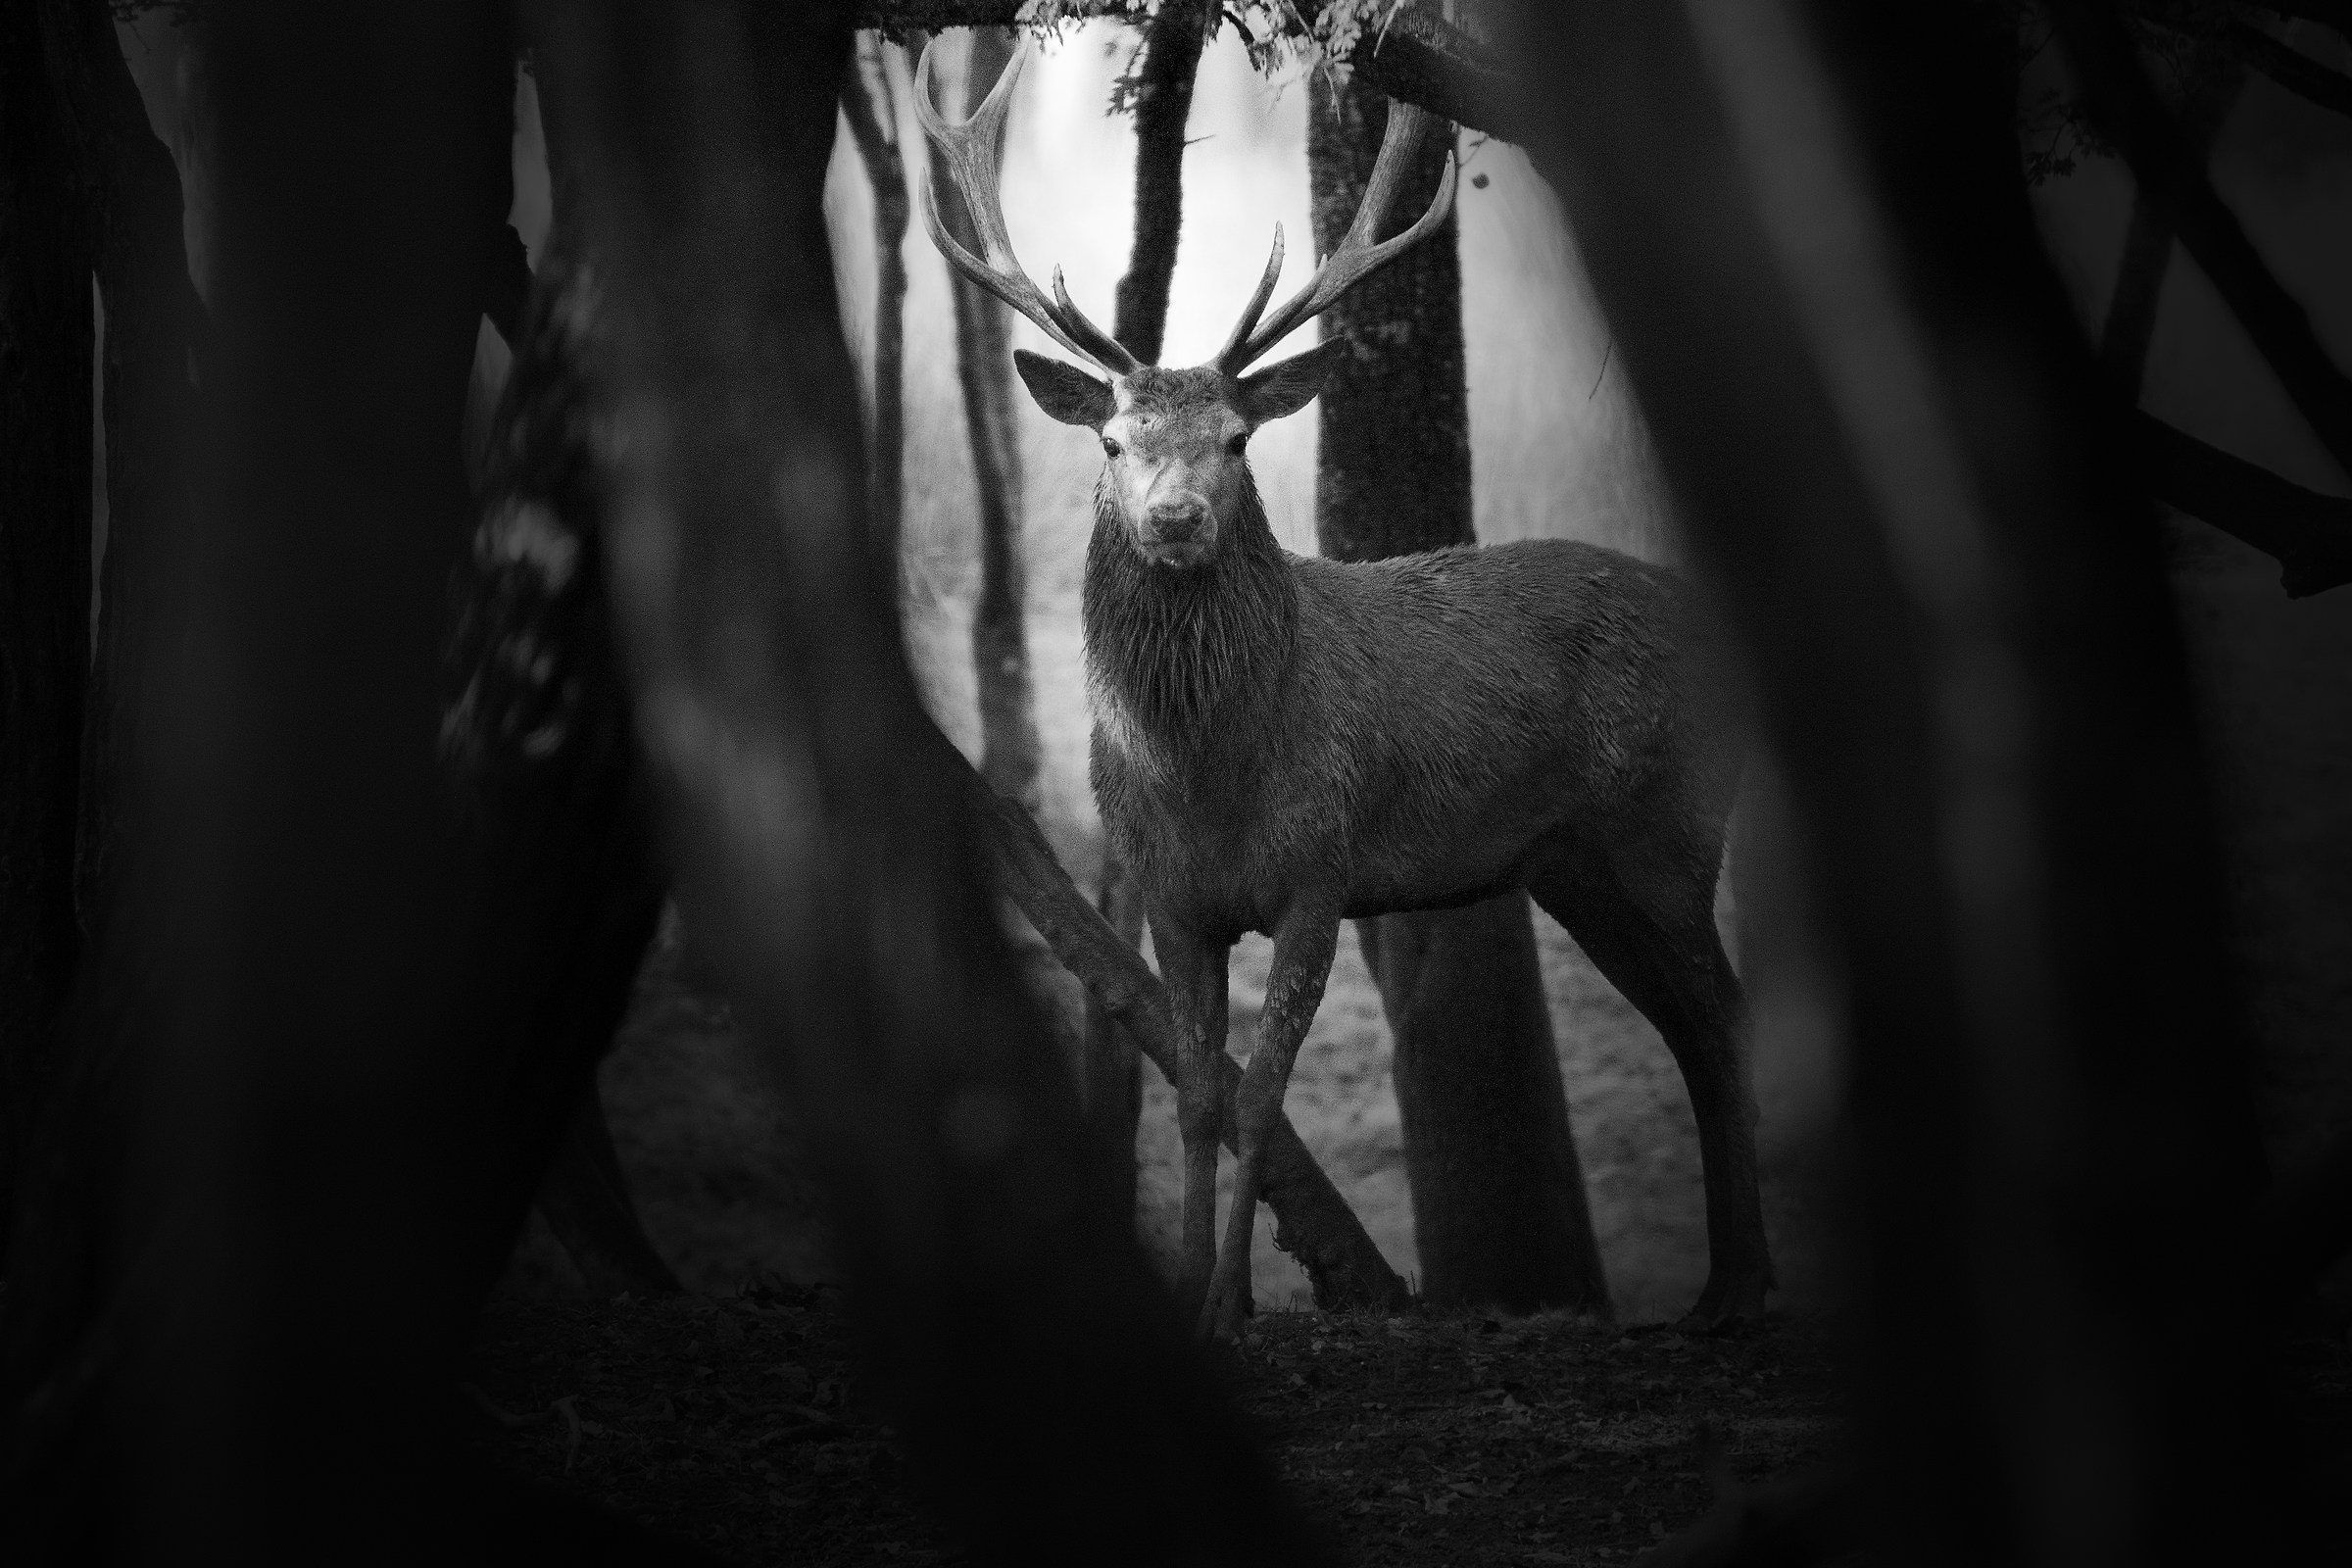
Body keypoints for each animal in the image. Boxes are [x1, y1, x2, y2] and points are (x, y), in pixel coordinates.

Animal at [915, 38, 1770, 1339]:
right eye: (1113, 443)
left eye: (1235, 439)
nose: (1174, 518)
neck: (1203, 777)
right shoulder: (1166, 894)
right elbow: (1199, 1093)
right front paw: (1198, 1298)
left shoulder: (1320, 871)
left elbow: (1264, 1091)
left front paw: (1231, 1301)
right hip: (1576, 864)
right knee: (1685, 1022)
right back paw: (1718, 1286)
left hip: (1669, 825)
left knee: (1721, 1019)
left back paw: (1747, 1289)